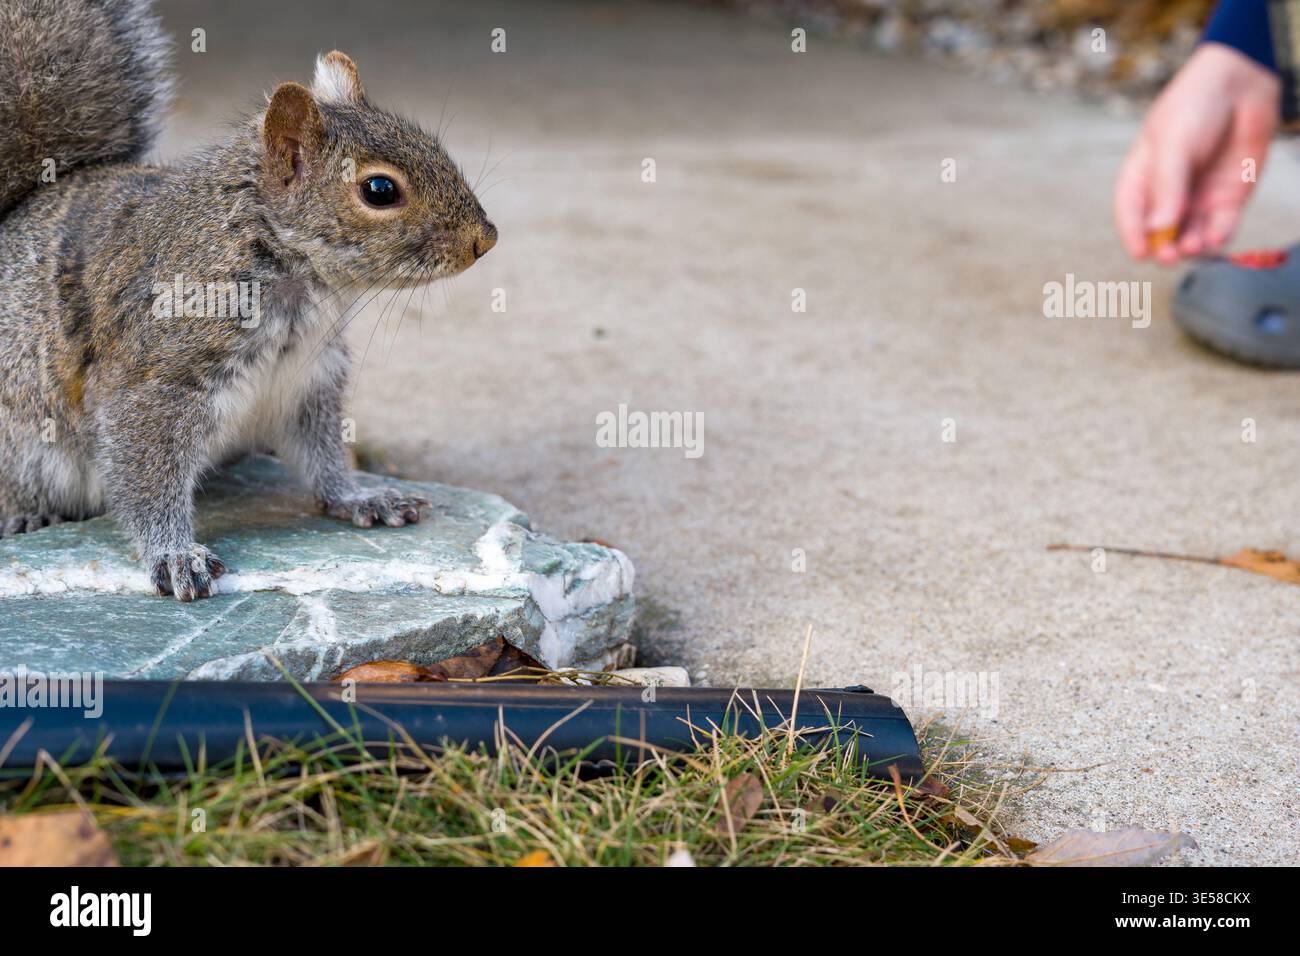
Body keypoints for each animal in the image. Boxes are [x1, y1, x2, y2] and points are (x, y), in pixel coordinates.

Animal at [0, 0, 497, 601]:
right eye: (380, 190)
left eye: (433, 147)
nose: (485, 238)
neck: (298, 281)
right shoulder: (156, 379)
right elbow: (145, 475)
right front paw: (175, 555)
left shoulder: (307, 377)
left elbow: (321, 452)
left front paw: (360, 497)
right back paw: (28, 514)